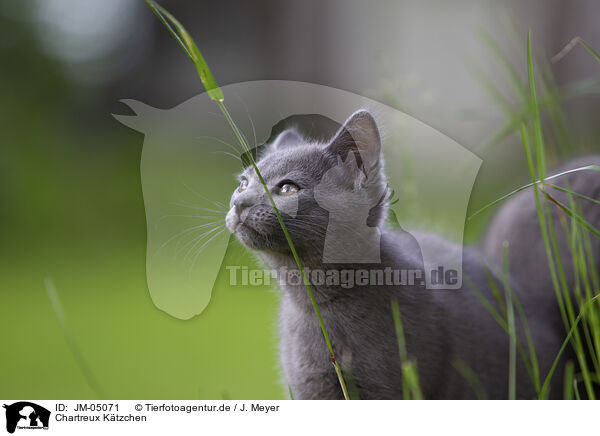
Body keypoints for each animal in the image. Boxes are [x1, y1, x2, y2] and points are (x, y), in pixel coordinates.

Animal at [226, 111, 568, 398]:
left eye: (287, 189)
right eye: (244, 183)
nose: (239, 203)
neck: (316, 302)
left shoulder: (389, 383)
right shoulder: (310, 386)